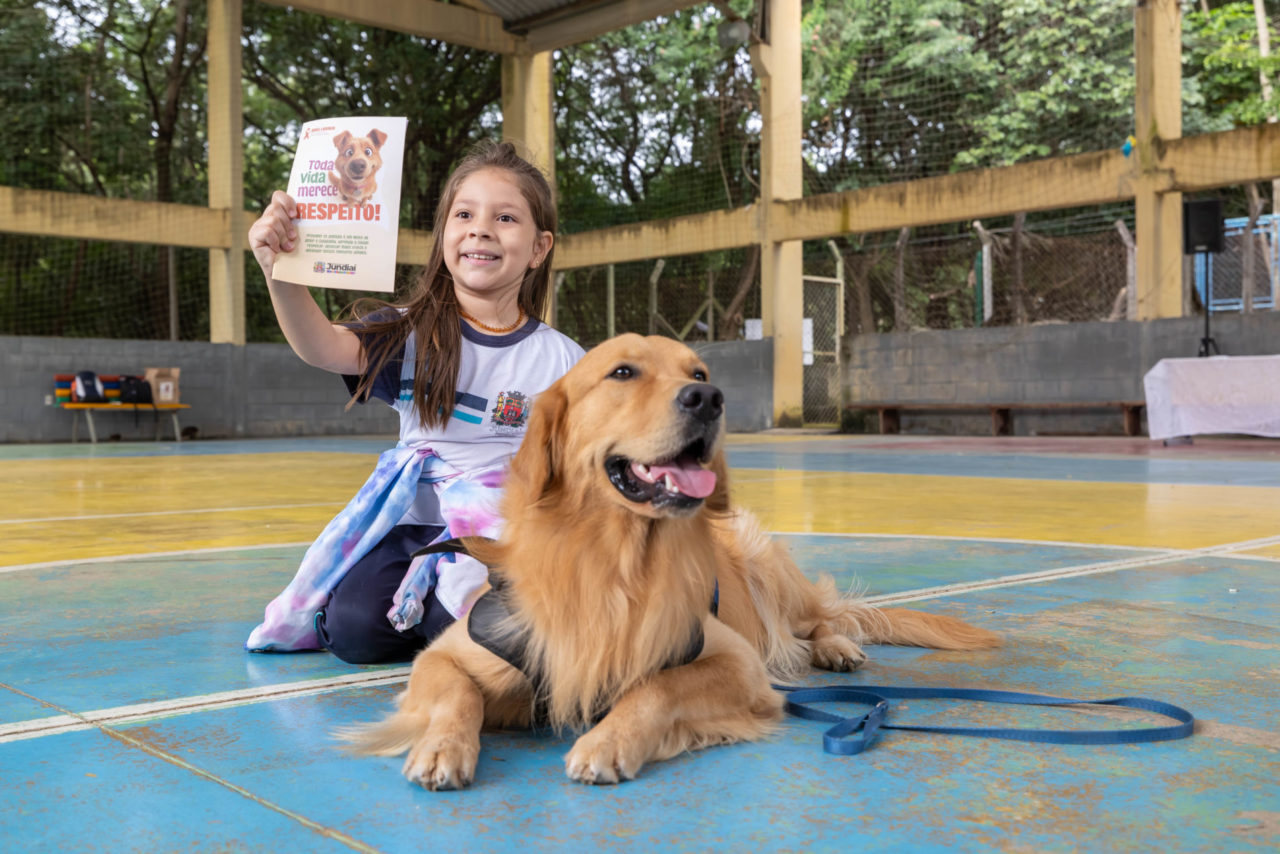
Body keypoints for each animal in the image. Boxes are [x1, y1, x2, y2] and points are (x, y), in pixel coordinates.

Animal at [339, 334, 1000, 788]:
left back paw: (835, 647)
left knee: (818, 620)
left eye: (699, 372)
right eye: (622, 372)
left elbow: (656, 688)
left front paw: (607, 742)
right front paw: (442, 746)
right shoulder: (449, 653)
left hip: (761, 559)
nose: (708, 398)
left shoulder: (735, 663)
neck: (613, 561)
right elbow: (457, 694)